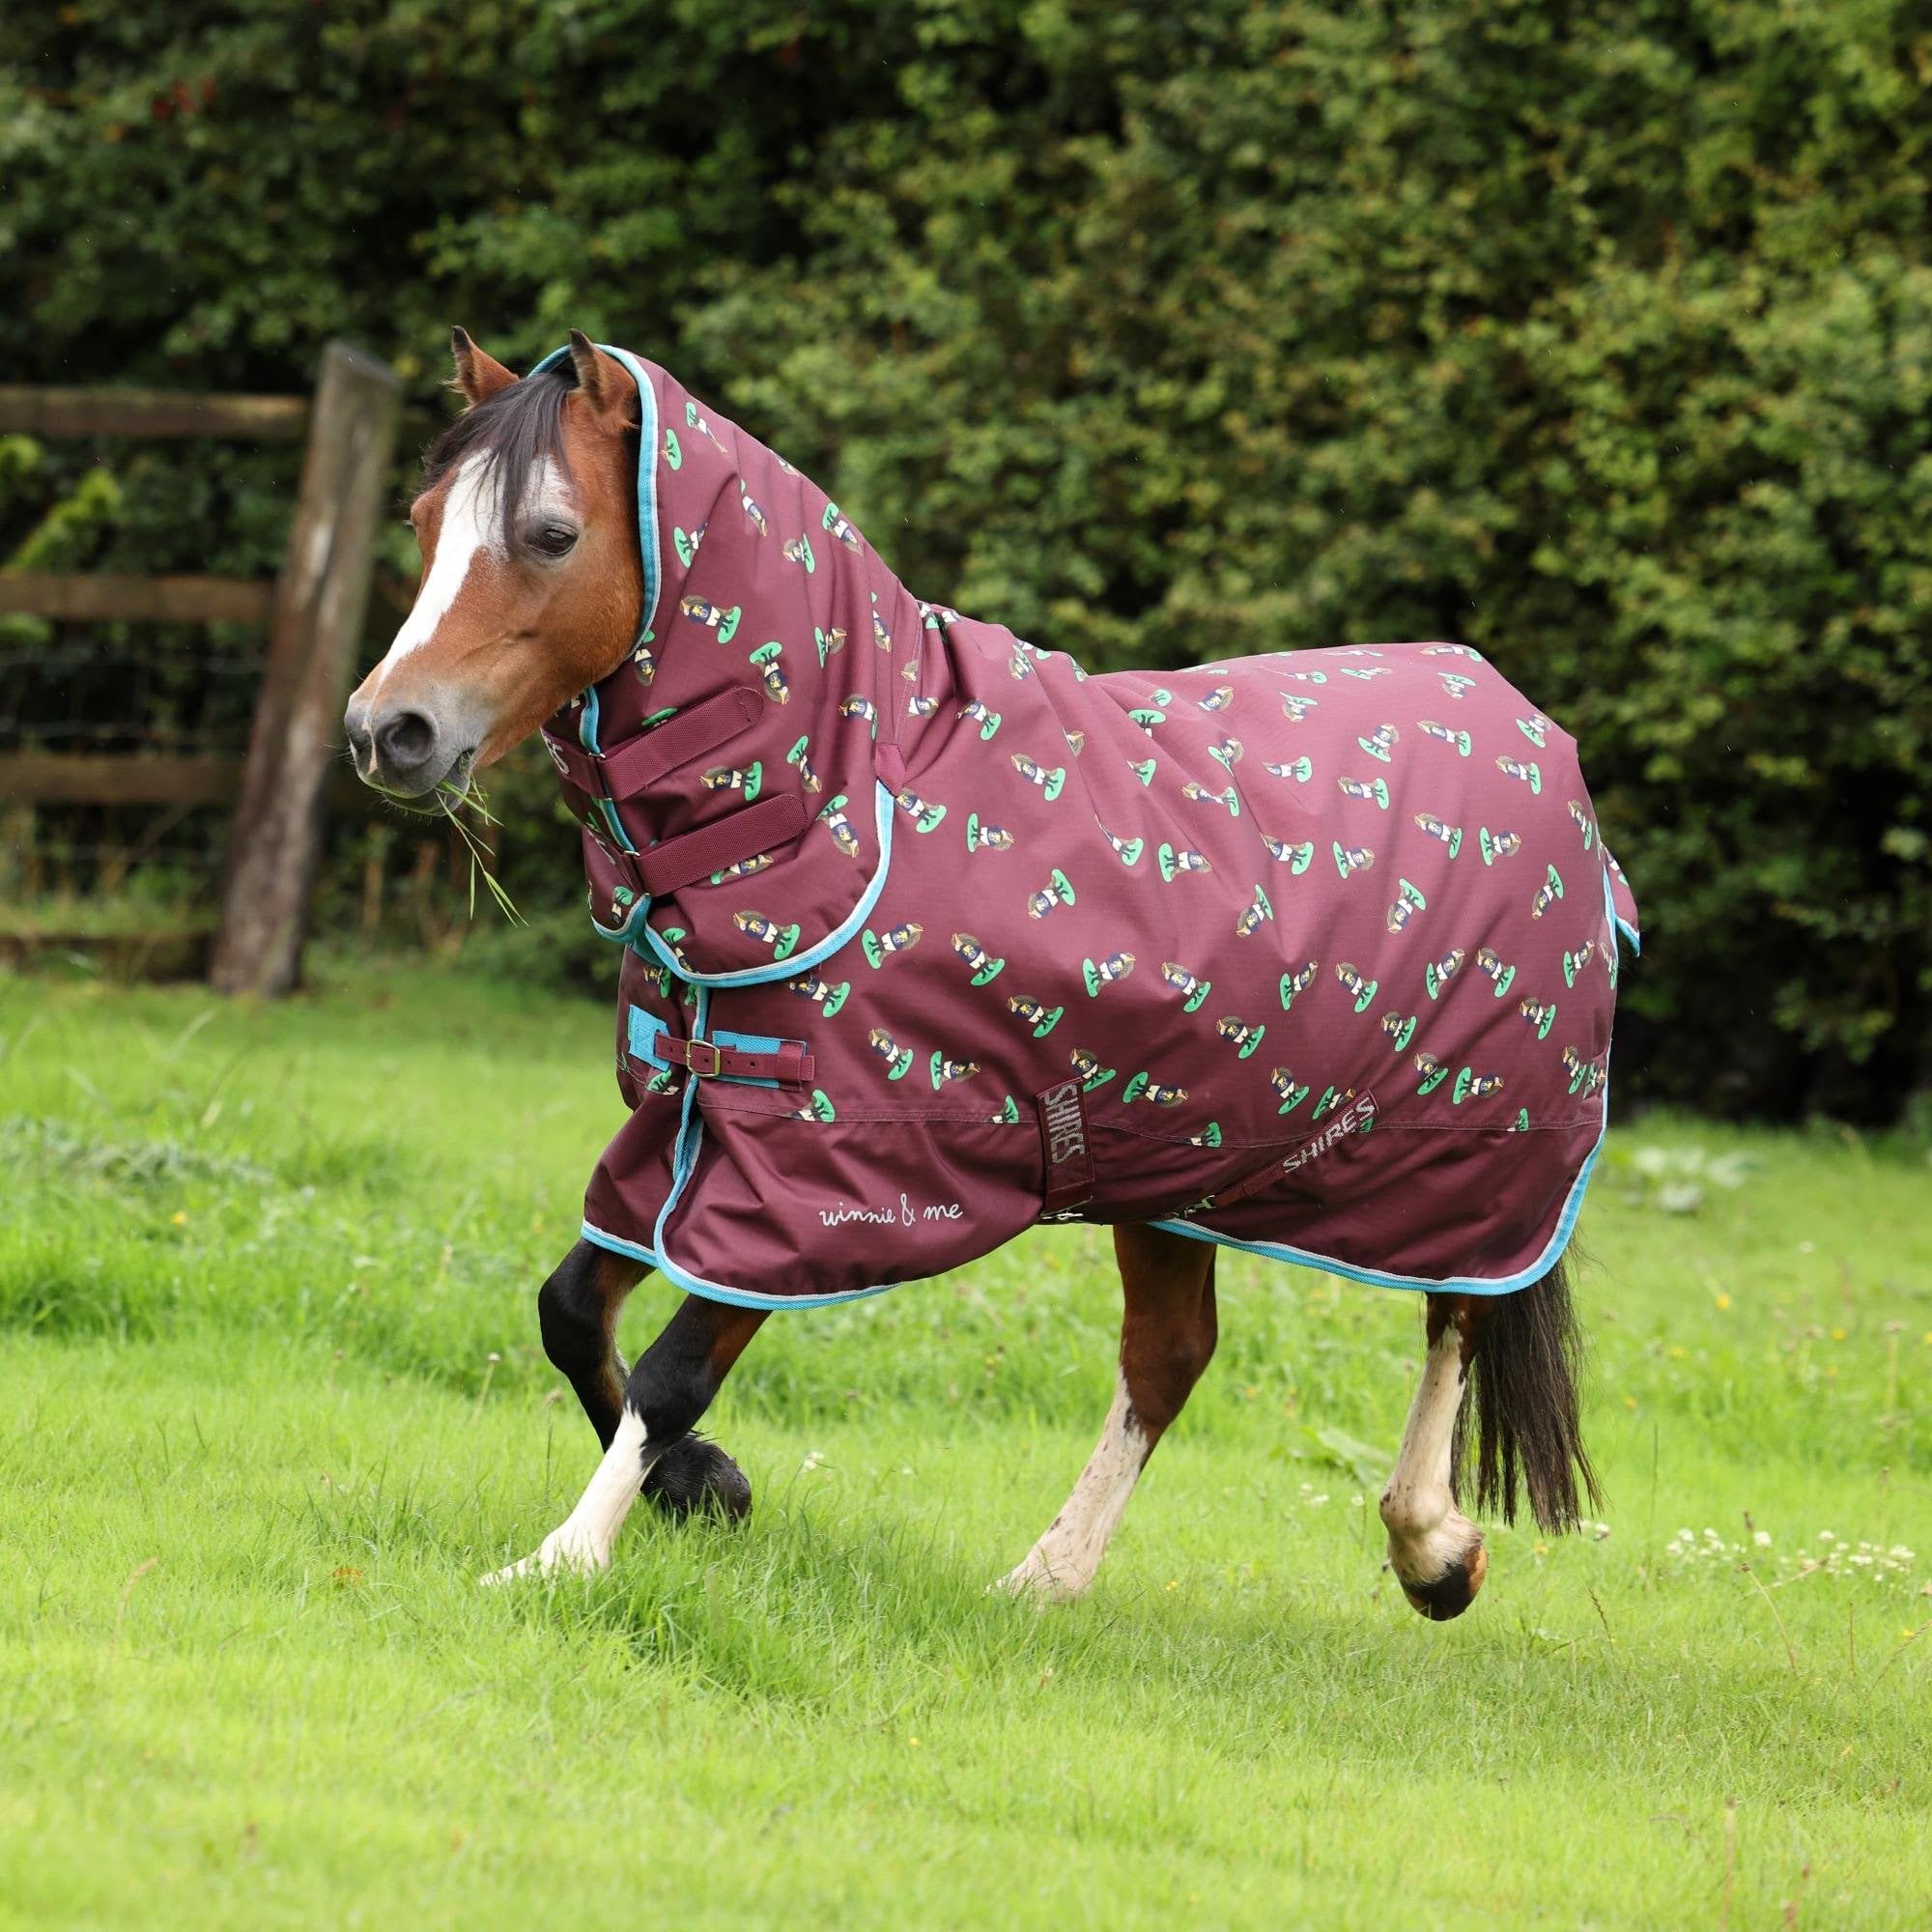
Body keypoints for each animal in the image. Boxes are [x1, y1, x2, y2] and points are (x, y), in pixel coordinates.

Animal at [345, 329, 1635, 1616]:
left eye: (550, 533)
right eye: (420, 520)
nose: (385, 731)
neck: (850, 798)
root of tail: (1539, 742)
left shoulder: (825, 1173)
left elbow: (671, 1370)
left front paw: (562, 1554)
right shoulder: (693, 1120)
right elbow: (570, 1309)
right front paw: (703, 1485)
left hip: (1472, 1157)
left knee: (1457, 1316)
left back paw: (1433, 1551)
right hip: (1172, 1157)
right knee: (1170, 1355)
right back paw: (1045, 1578)